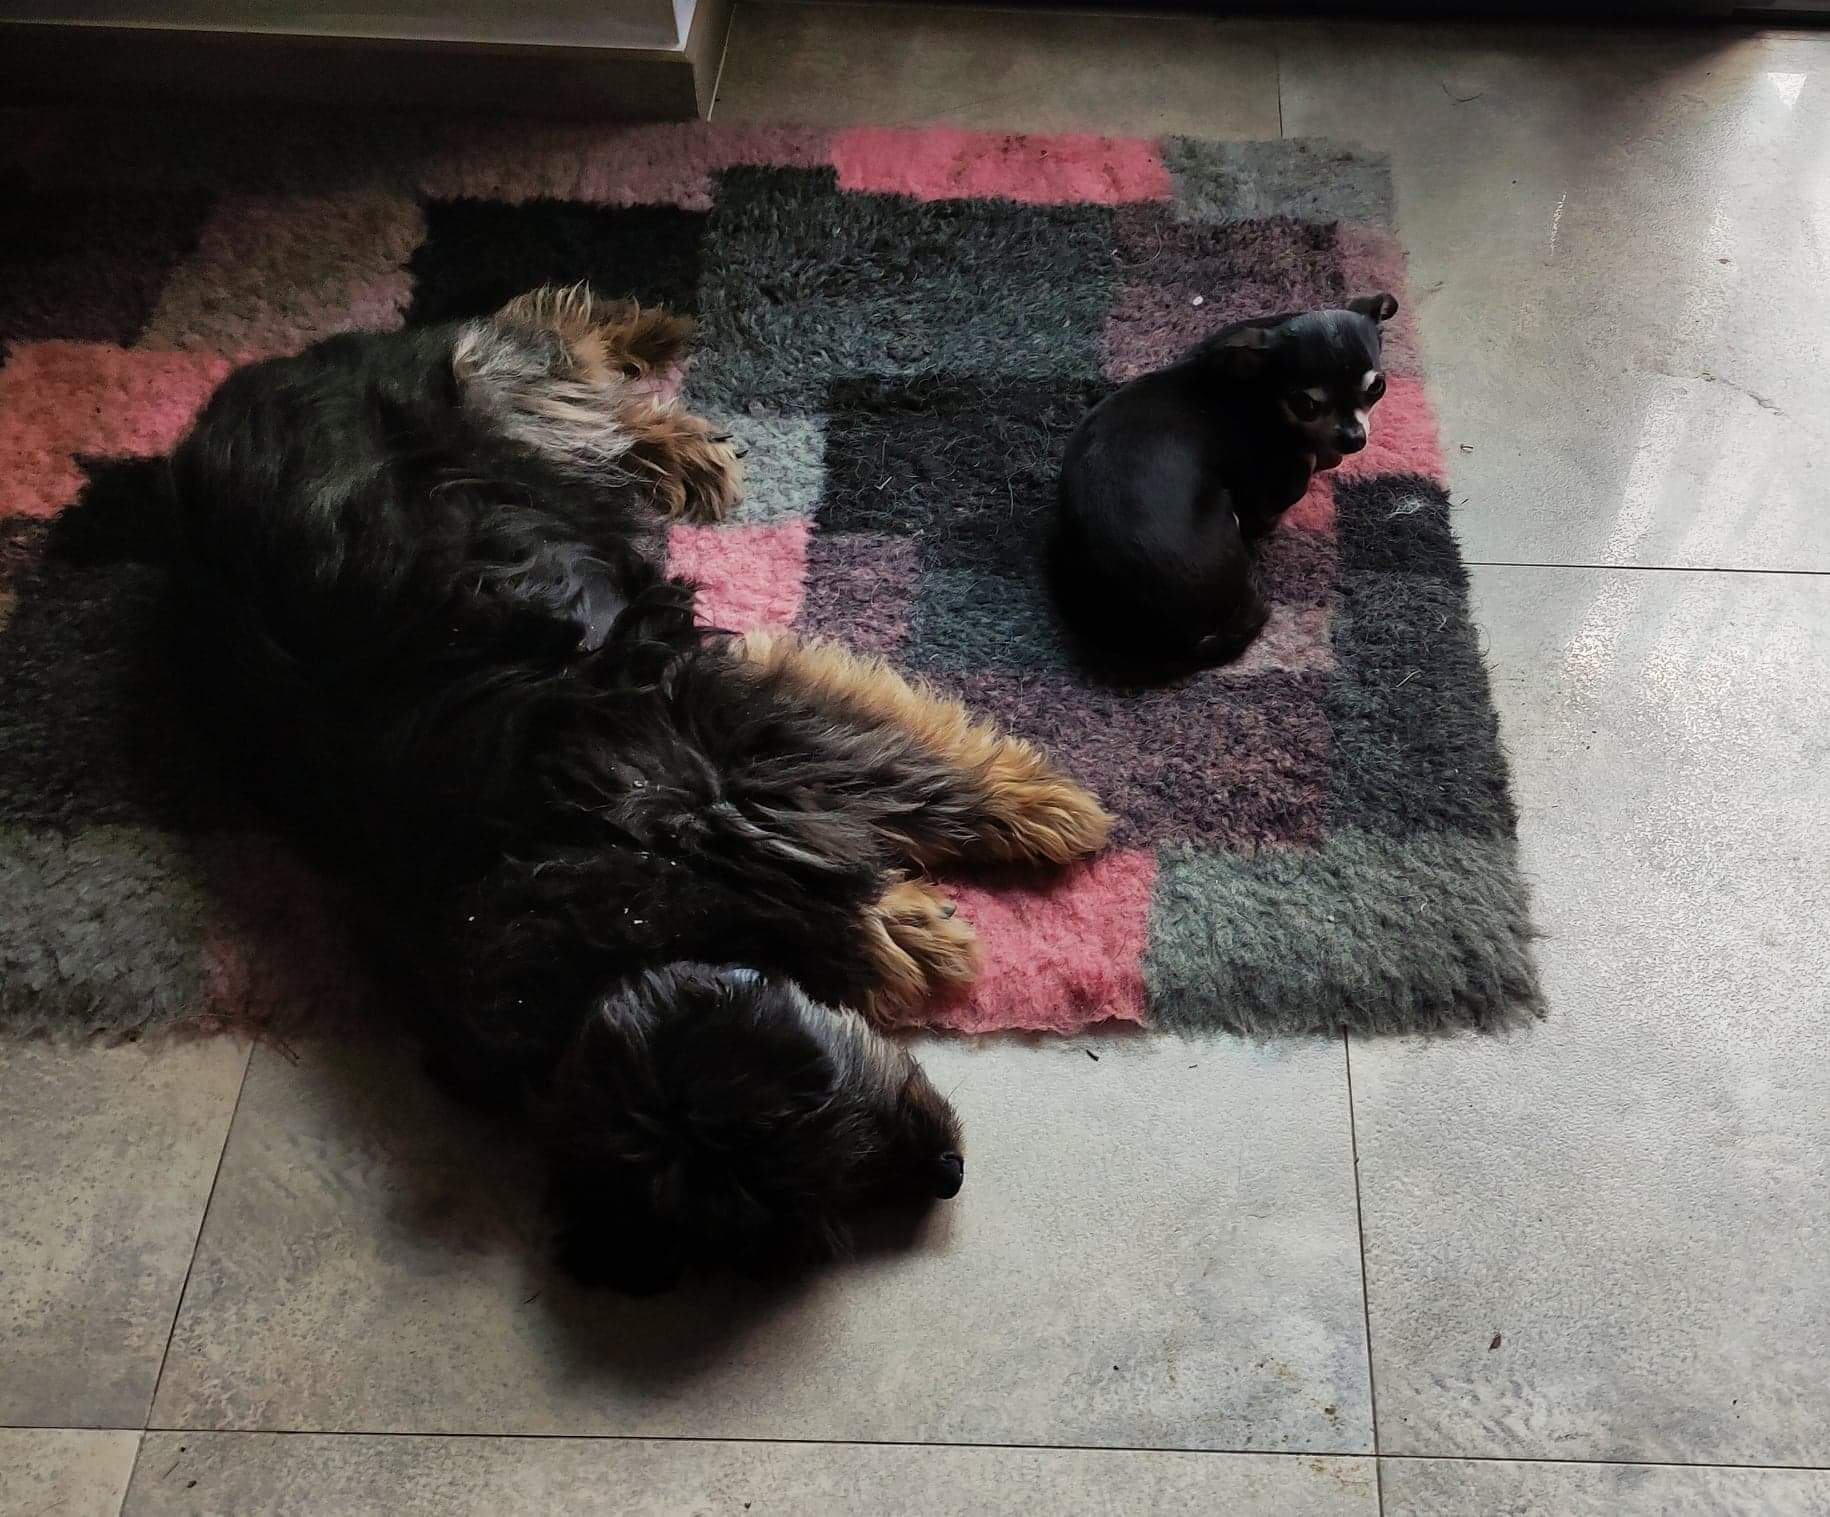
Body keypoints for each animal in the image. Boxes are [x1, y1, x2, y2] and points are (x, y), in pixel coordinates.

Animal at [163, 286, 1112, 1293]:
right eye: (791, 1213)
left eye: (796, 1106)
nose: (946, 1173)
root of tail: (245, 384)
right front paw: (901, 926)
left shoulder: (697, 724)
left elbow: (895, 770)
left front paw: (1039, 813)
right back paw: (670, 435)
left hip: (484, 393)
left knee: (536, 337)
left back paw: (655, 374)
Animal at [1051, 294, 1399, 669]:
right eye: (1305, 403)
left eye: (1377, 387)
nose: (1353, 439)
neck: (1256, 385)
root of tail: (1181, 643)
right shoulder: (1280, 484)